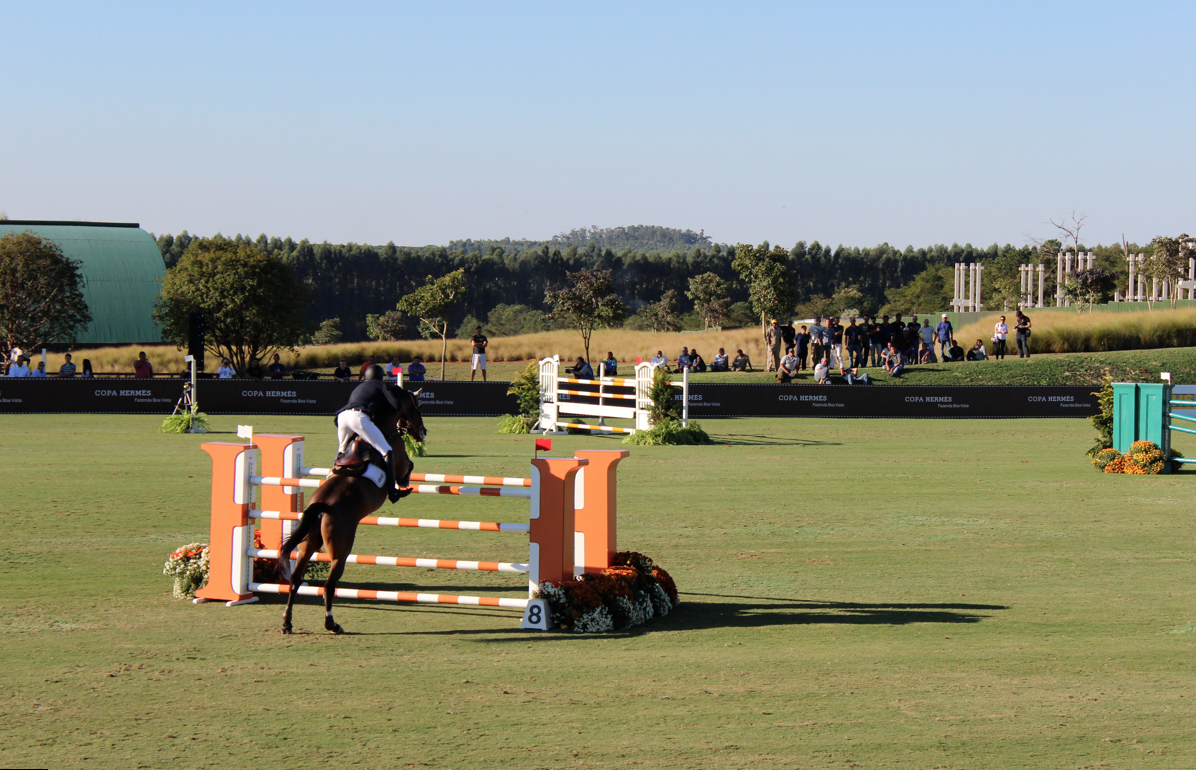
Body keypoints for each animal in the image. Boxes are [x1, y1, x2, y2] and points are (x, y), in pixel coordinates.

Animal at [277, 387, 428, 636]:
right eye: (418, 407)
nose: (422, 433)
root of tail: (322, 505)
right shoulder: (398, 458)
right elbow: (408, 466)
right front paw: (402, 487)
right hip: (341, 551)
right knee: (329, 586)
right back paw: (332, 624)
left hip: (308, 544)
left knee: (296, 580)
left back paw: (287, 623)